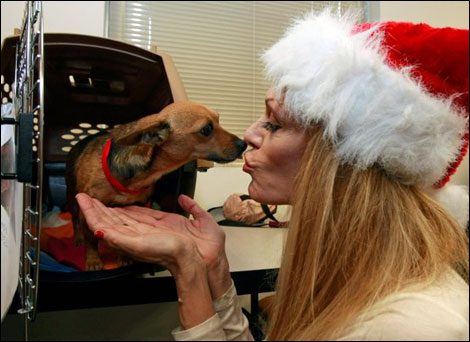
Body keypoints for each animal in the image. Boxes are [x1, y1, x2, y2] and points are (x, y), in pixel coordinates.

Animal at [67, 100, 250, 272]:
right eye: (206, 129)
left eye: (219, 120)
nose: (244, 144)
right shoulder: (87, 209)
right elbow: (91, 240)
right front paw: (93, 260)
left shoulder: (138, 204)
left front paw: (124, 255)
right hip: (73, 199)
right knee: (75, 220)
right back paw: (78, 238)